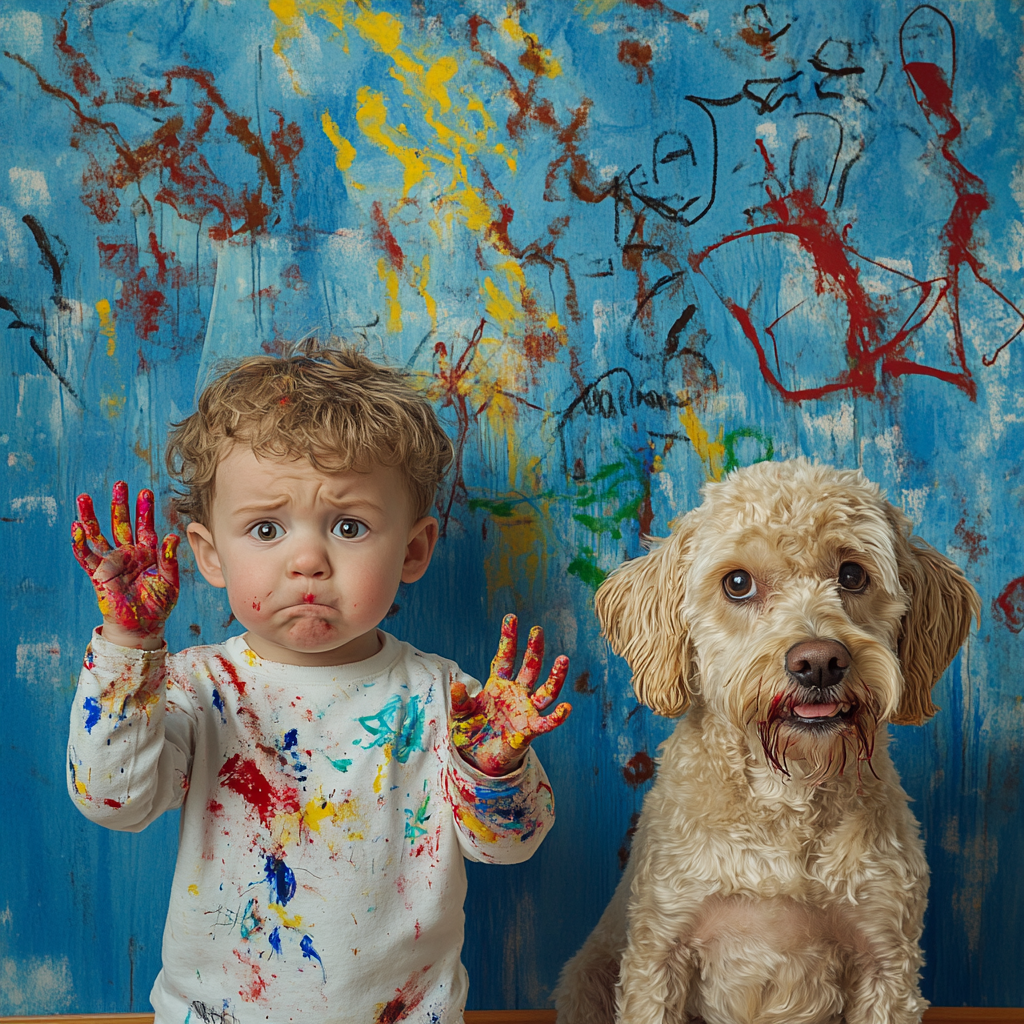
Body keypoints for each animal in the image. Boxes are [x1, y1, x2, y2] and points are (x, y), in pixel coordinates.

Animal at [557, 460, 978, 1024]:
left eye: (852, 574)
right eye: (737, 583)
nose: (819, 661)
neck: (787, 793)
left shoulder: (885, 959)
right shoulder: (659, 951)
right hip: (587, 976)